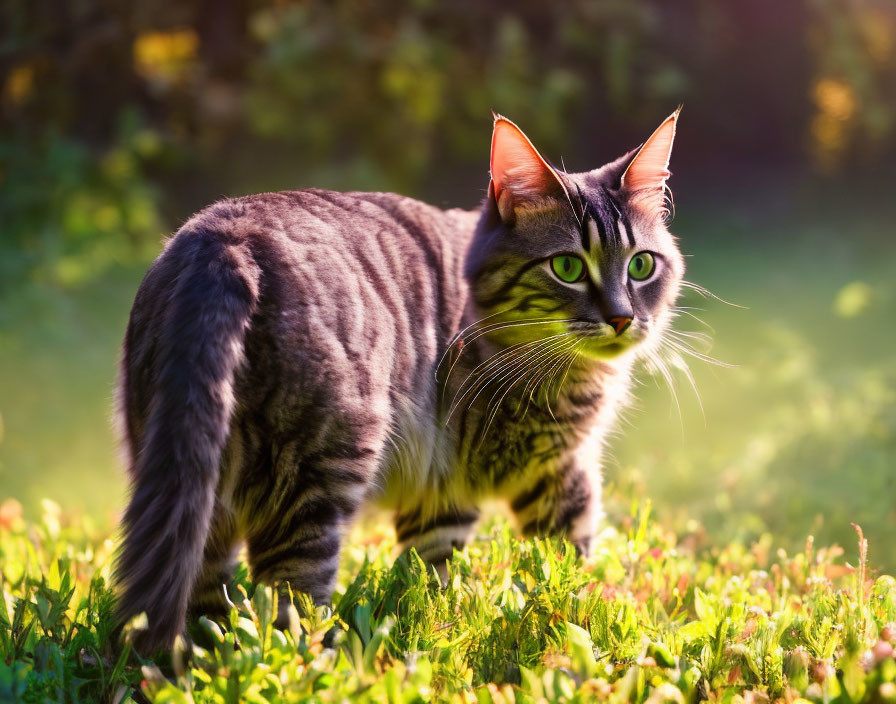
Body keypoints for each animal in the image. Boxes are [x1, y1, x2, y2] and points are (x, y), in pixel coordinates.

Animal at [114, 107, 688, 652]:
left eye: (641, 266)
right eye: (567, 267)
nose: (622, 318)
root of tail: (225, 238)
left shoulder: (442, 493)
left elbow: (432, 578)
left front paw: (438, 624)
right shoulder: (555, 472)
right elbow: (569, 568)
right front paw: (577, 624)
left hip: (191, 487)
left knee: (203, 608)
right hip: (317, 478)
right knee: (287, 608)